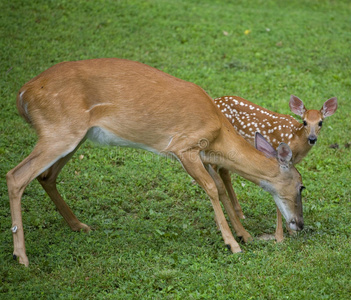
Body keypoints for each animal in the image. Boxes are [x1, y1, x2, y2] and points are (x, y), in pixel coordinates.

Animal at [6, 59, 306, 268]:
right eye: (302, 186)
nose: (300, 225)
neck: (219, 133)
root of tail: (23, 93)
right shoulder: (183, 146)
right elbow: (211, 189)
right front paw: (233, 244)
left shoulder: (202, 154)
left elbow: (220, 189)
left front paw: (245, 235)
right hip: (60, 131)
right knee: (16, 175)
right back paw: (21, 256)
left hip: (76, 136)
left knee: (46, 176)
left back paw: (79, 226)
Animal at [214, 95, 338, 241]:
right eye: (305, 122)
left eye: (320, 122)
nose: (312, 138)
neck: (295, 138)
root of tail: (216, 100)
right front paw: (280, 236)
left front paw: (291, 231)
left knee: (224, 172)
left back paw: (240, 214)